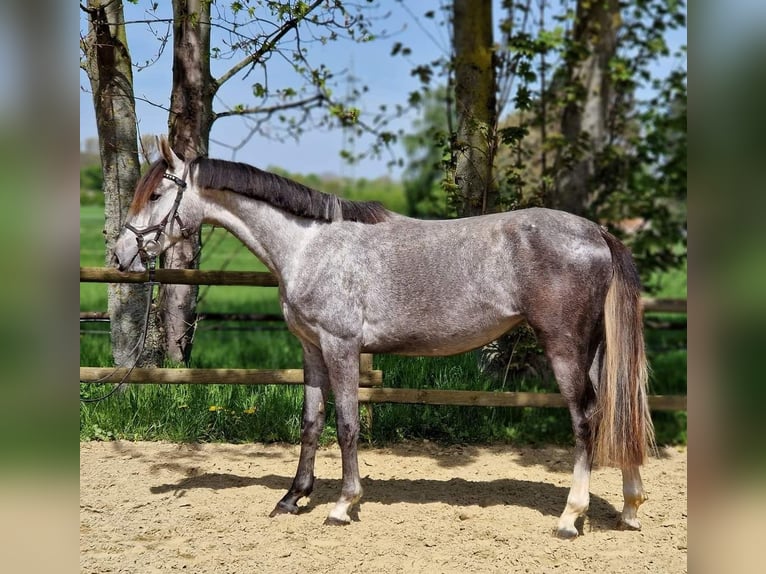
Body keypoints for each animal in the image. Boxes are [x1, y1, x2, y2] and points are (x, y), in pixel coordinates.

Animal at [114, 140, 656, 540]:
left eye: (157, 196)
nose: (121, 256)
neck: (309, 247)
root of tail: (597, 232)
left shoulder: (341, 347)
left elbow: (347, 426)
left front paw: (342, 505)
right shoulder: (311, 350)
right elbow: (311, 423)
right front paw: (293, 497)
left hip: (565, 347)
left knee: (585, 421)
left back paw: (570, 517)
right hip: (595, 350)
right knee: (617, 411)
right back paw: (629, 509)